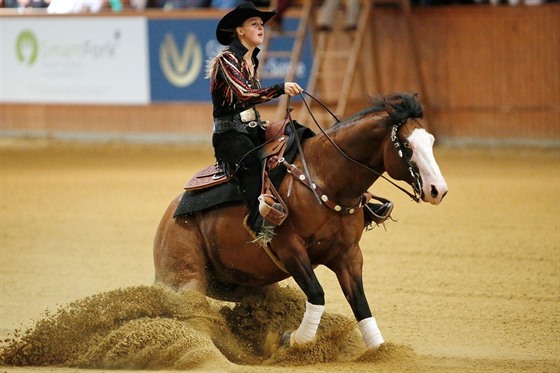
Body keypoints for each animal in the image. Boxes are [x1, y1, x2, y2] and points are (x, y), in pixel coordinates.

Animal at [154, 92, 450, 348]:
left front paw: (381, 352)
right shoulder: (290, 249)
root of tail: (168, 218)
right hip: (185, 278)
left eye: (431, 141)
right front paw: (292, 339)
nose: (438, 190)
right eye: (407, 147)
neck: (324, 178)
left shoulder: (348, 254)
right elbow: (317, 294)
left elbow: (360, 304)